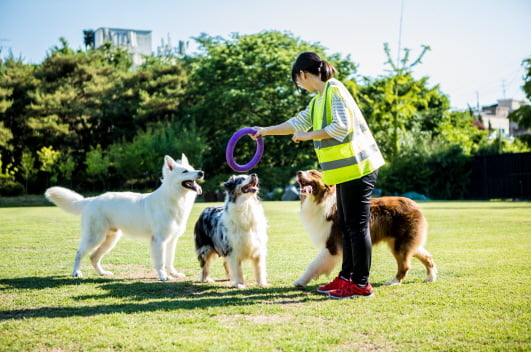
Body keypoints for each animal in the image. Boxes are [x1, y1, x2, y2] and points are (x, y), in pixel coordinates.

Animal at [45, 155, 204, 282]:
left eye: (193, 168)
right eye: (185, 171)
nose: (201, 172)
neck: (174, 199)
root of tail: (91, 199)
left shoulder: (171, 240)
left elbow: (169, 261)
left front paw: (174, 274)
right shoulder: (159, 241)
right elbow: (160, 262)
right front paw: (163, 276)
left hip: (110, 240)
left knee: (93, 257)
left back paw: (102, 273)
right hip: (94, 237)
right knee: (79, 253)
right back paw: (76, 272)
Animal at [294, 169, 438, 288]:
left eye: (313, 173)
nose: (298, 172)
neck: (321, 200)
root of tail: (415, 204)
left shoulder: (331, 246)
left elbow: (313, 265)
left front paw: (300, 281)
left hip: (399, 244)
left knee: (405, 265)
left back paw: (394, 282)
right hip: (404, 241)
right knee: (426, 256)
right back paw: (430, 277)